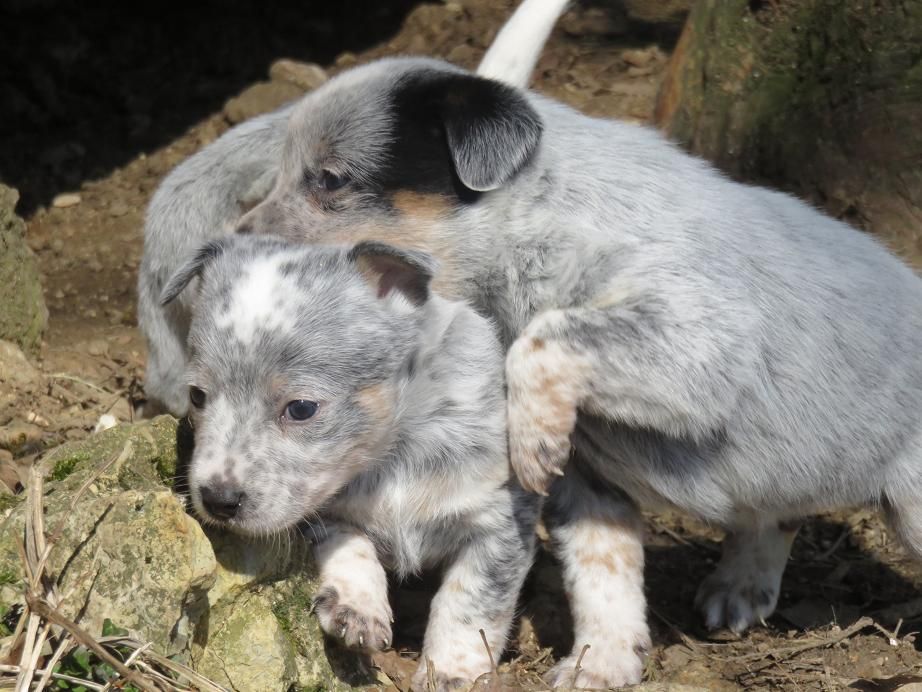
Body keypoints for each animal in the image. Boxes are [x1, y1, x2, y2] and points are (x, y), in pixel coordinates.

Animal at [160, 235, 540, 688]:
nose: (218, 500)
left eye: (302, 408)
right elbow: (349, 542)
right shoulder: (325, 512)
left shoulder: (498, 525)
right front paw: (357, 608)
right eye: (197, 396)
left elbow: (471, 604)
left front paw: (452, 674)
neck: (392, 457)